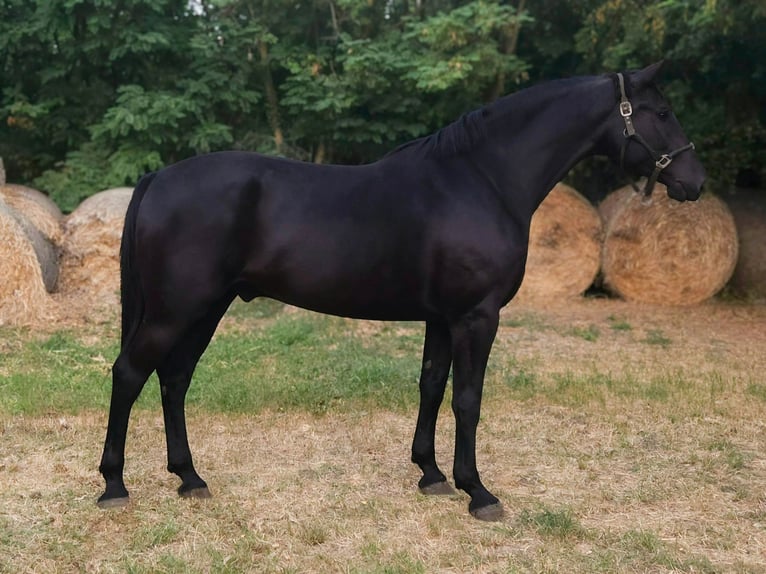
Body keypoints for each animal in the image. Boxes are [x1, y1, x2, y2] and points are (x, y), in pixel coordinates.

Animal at [97, 62, 705, 520]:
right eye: (663, 113)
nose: (695, 182)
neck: (482, 180)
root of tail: (158, 179)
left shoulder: (442, 317)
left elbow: (431, 386)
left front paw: (431, 474)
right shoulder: (477, 316)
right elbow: (468, 398)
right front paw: (477, 492)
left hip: (206, 308)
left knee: (174, 379)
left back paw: (189, 478)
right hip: (177, 310)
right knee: (129, 374)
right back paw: (114, 485)